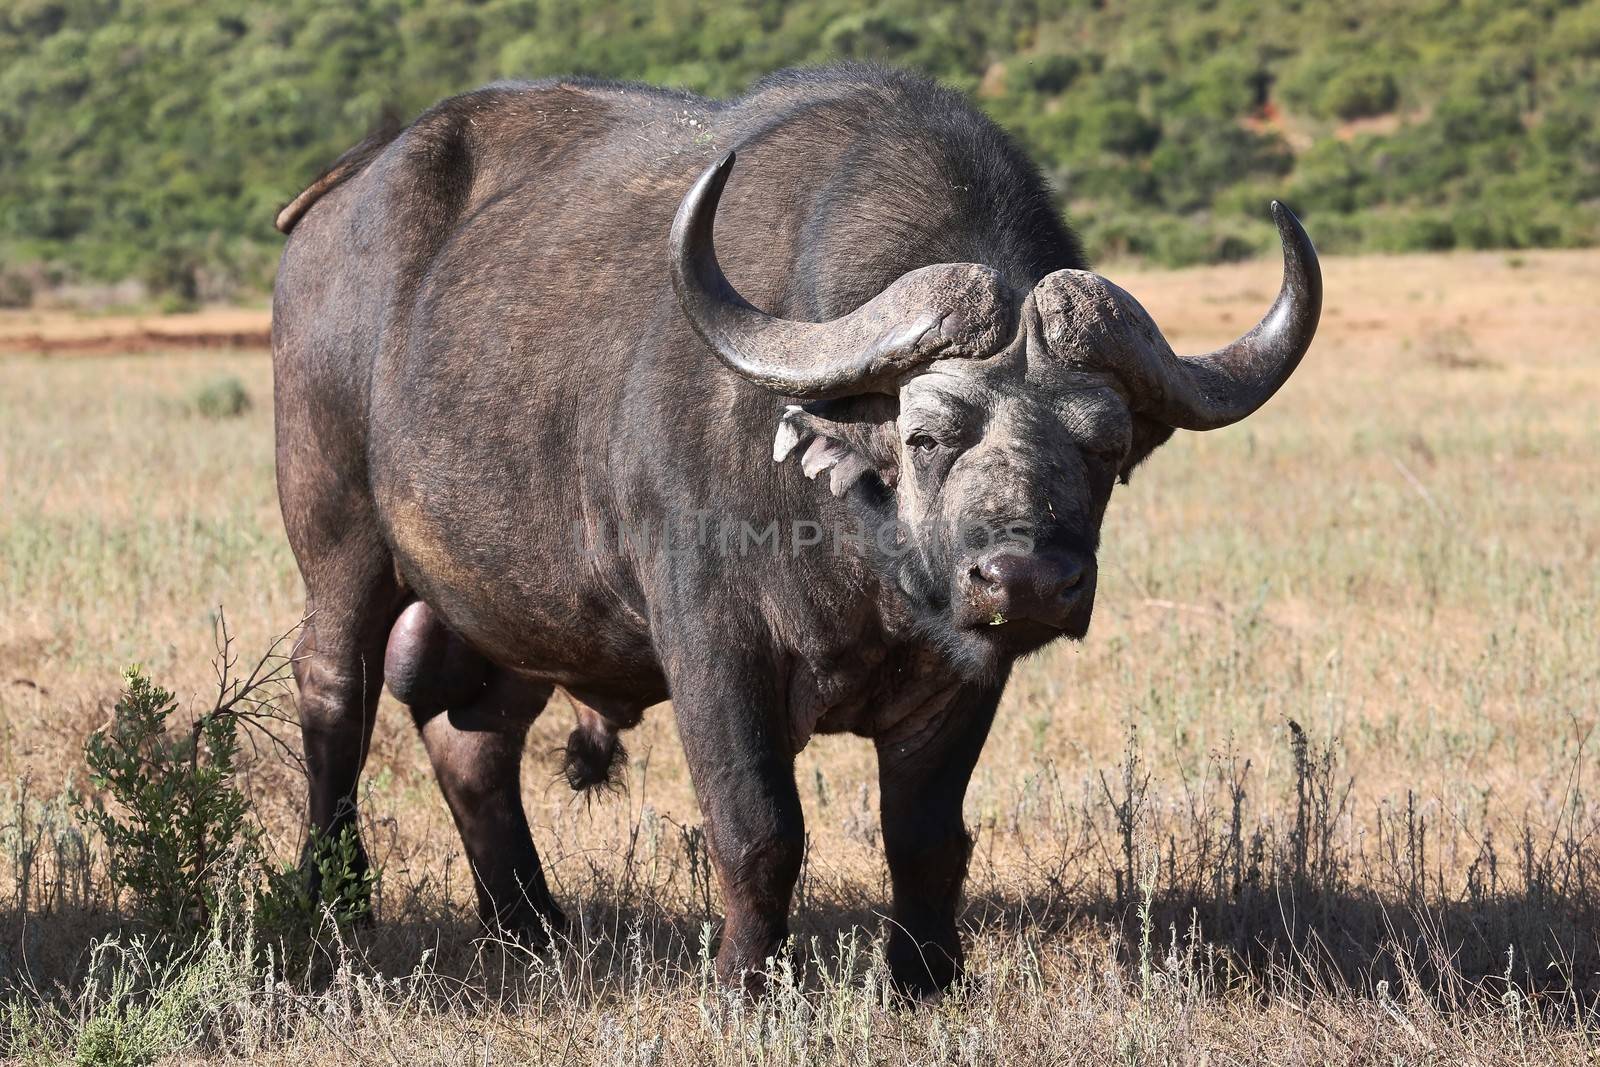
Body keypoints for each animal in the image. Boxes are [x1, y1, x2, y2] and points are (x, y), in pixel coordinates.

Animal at [275, 64, 1318, 1004]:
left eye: (1103, 446)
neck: (855, 545)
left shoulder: (966, 674)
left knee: (474, 740)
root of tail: (344, 192)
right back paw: (333, 899)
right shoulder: (712, 645)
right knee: (335, 694)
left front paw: (927, 977)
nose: (1025, 578)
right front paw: (745, 985)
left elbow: (927, 838)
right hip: (337, 533)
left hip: (515, 610)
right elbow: (760, 827)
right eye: (927, 433)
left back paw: (533, 925)